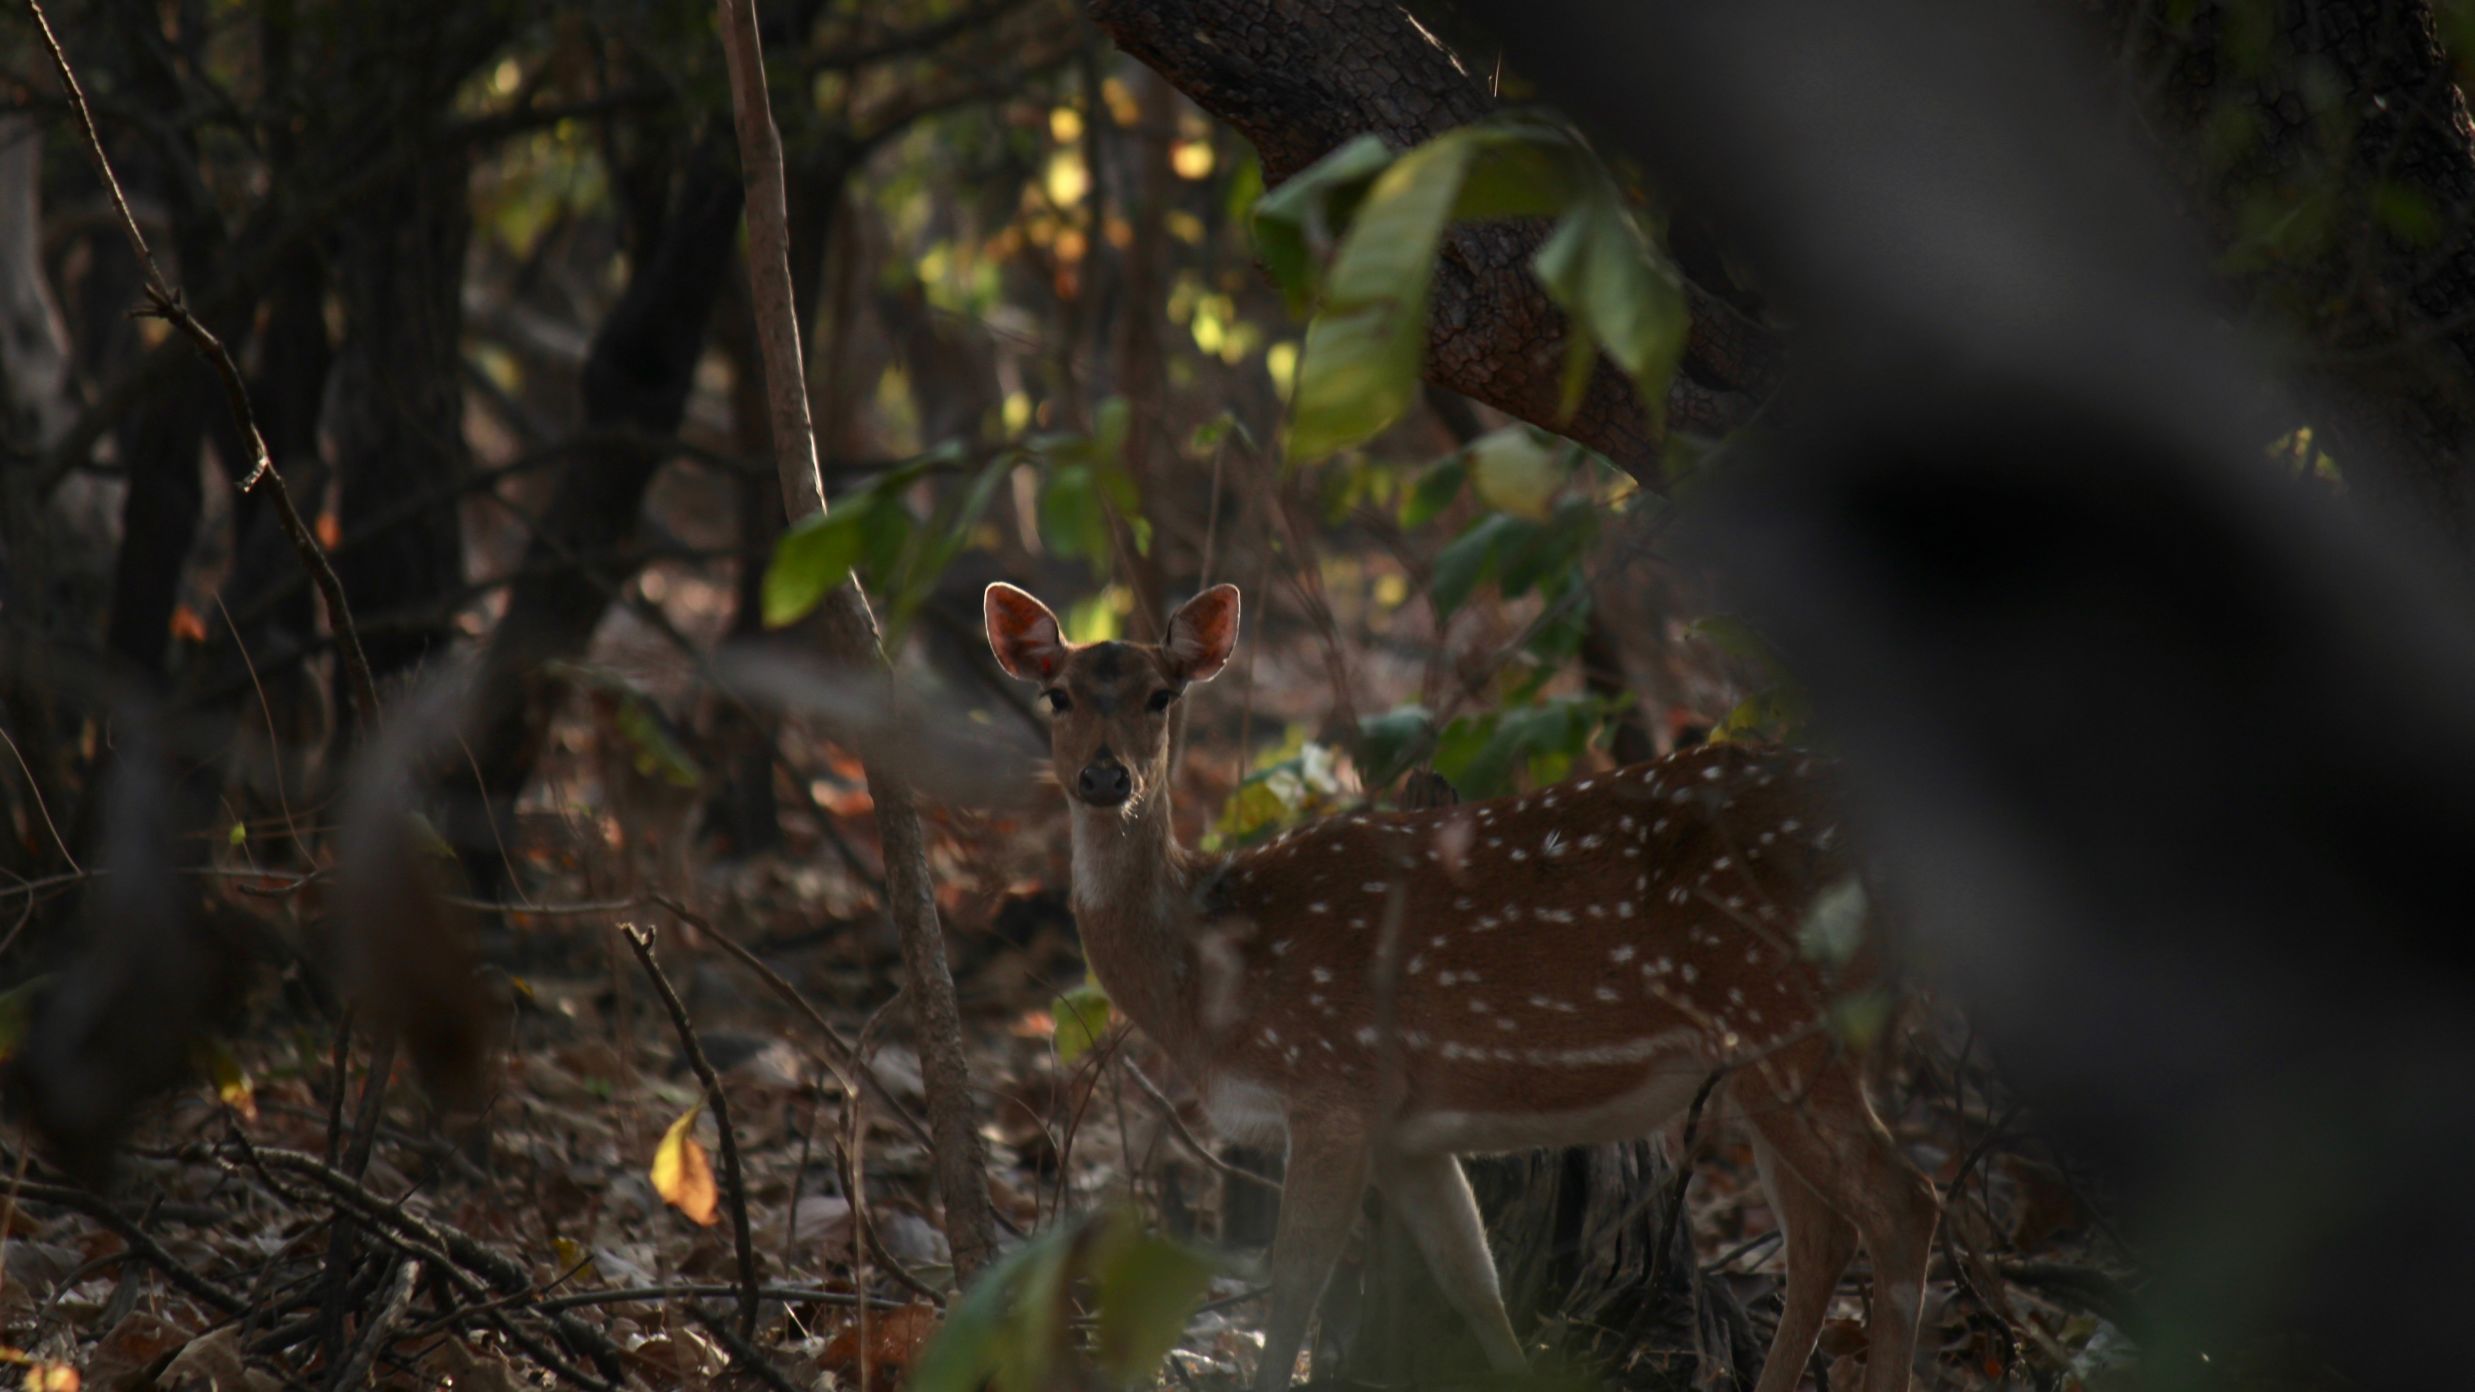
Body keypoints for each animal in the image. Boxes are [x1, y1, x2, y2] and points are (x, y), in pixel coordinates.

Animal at [980, 579, 1930, 1387]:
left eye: (1161, 696)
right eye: (1057, 694)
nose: (1106, 777)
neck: (1208, 974)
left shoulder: (1332, 1082)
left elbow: (1294, 1287)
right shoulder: (1404, 1131)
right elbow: (1475, 1281)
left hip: (1781, 1009)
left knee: (1898, 1205)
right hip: (1771, 1046)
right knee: (1821, 1235)